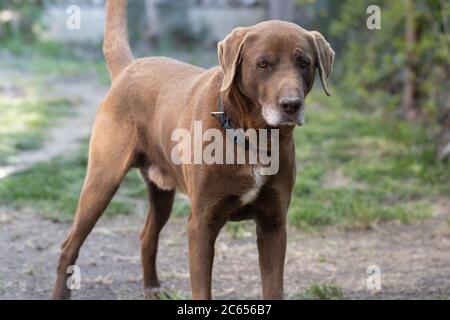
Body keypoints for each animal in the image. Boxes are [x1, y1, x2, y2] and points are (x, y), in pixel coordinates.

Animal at [52, 0, 334, 300]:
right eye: (263, 64)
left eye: (304, 63)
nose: (291, 105)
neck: (251, 138)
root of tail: (130, 67)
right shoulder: (201, 224)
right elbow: (202, 289)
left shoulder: (273, 225)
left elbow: (273, 287)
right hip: (102, 182)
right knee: (69, 246)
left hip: (161, 193)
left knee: (147, 235)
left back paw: (152, 288)